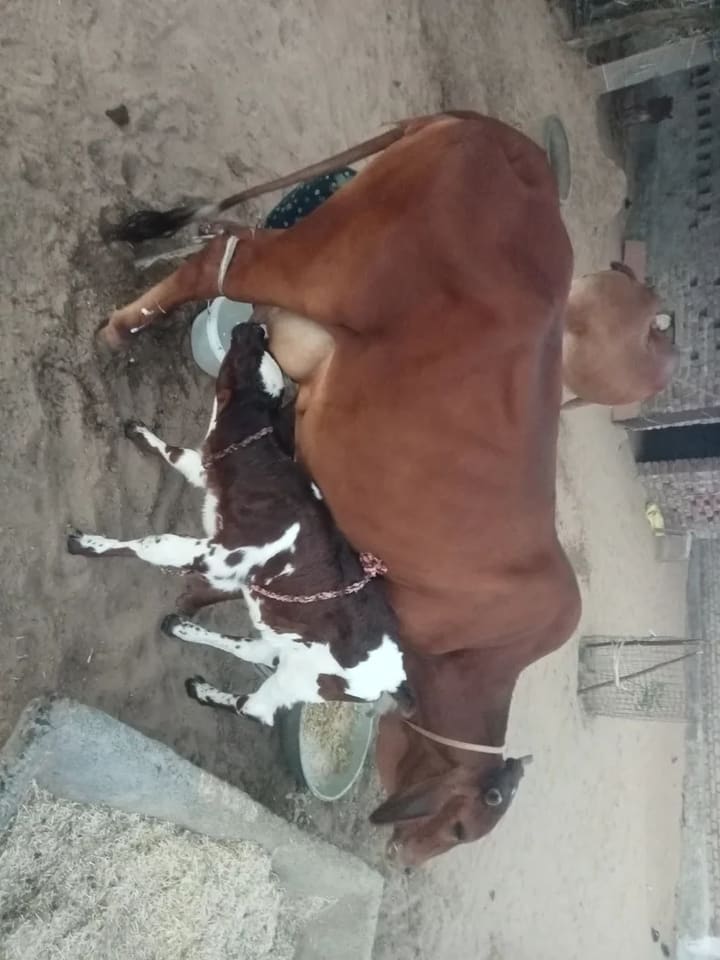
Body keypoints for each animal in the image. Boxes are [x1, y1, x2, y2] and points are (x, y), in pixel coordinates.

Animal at [67, 322, 406, 725]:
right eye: (260, 351)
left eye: (250, 358)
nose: (255, 326)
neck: (259, 466)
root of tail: (395, 681)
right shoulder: (221, 530)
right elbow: (178, 455)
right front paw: (139, 433)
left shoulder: (223, 553)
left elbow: (155, 542)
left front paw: (88, 545)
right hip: (288, 647)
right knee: (254, 650)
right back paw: (180, 627)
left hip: (305, 679)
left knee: (256, 709)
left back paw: (203, 690)